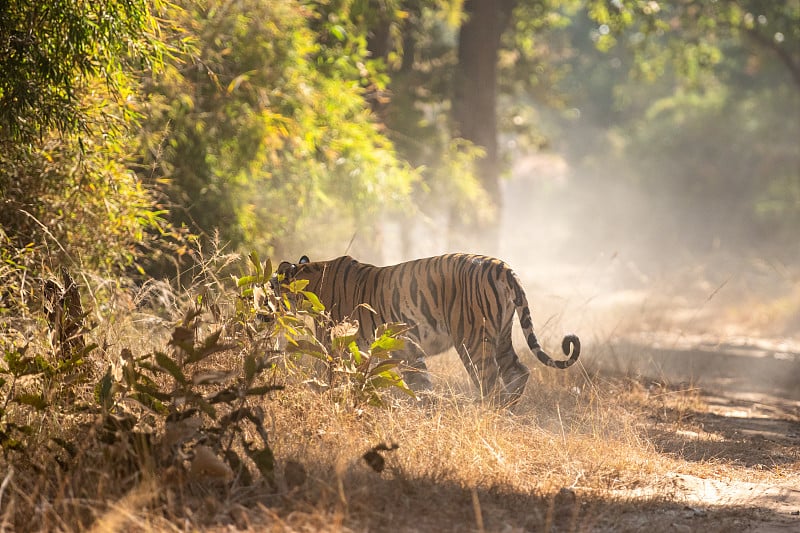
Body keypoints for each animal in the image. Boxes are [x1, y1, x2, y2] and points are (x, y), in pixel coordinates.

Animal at [276, 254, 580, 404]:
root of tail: (503, 267)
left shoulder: (335, 342)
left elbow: (330, 373)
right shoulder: (405, 350)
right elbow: (419, 384)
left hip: (471, 340)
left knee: (490, 384)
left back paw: (484, 415)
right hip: (502, 336)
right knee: (518, 371)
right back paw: (510, 412)